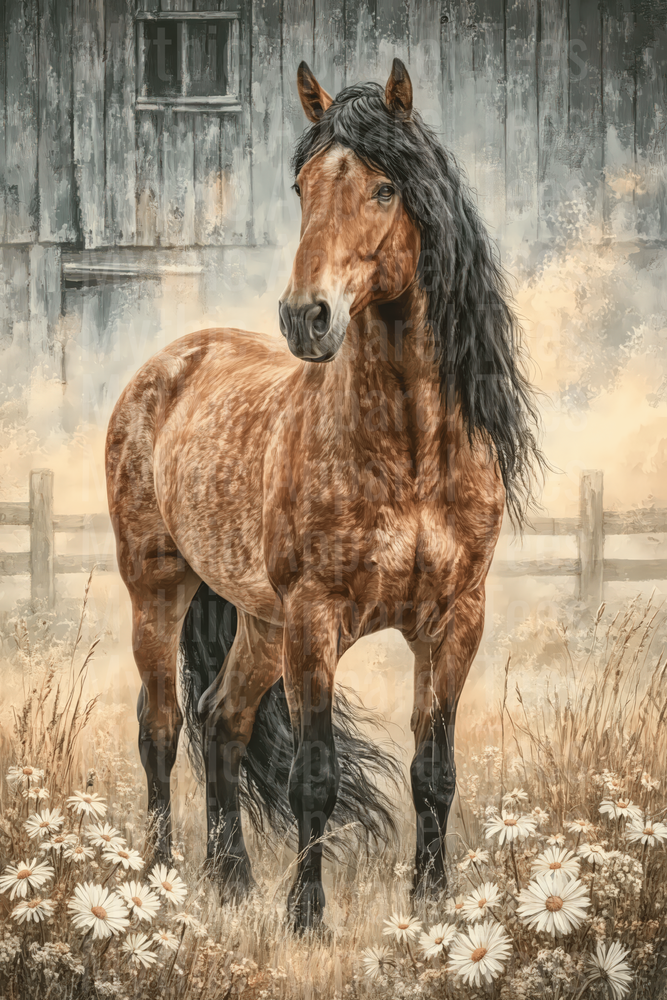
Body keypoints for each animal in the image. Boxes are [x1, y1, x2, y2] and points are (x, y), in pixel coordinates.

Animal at [105, 57, 543, 930]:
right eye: (301, 186)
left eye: (384, 188)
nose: (305, 317)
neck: (407, 453)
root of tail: (169, 363)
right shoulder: (315, 618)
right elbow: (314, 773)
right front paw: (306, 916)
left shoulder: (454, 621)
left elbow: (433, 770)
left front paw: (431, 904)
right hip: (159, 590)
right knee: (161, 728)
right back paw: (159, 882)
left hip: (258, 622)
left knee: (221, 721)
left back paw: (230, 881)